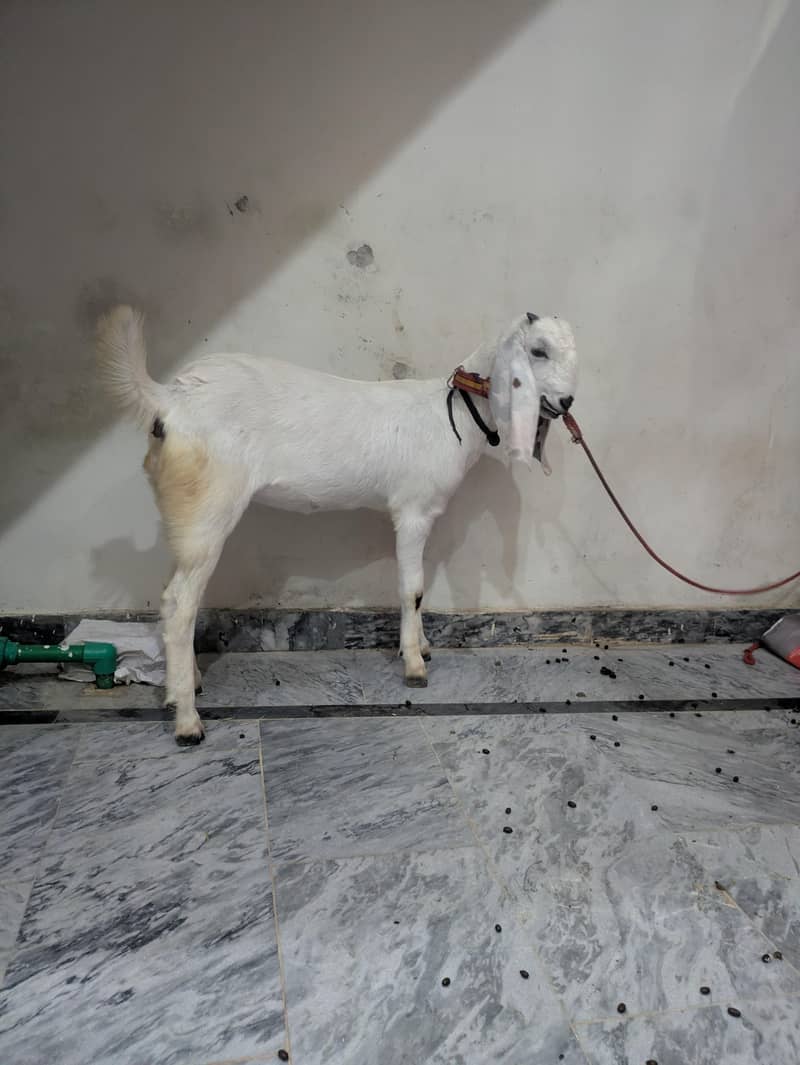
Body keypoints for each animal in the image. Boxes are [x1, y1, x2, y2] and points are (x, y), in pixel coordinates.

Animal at [96, 307, 578, 744]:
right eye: (538, 350)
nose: (567, 402)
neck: (452, 416)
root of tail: (170, 399)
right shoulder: (412, 510)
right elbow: (413, 588)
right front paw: (414, 665)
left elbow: (417, 586)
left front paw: (421, 645)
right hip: (210, 504)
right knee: (180, 604)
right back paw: (187, 723)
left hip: (186, 519)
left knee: (172, 597)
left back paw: (185, 686)